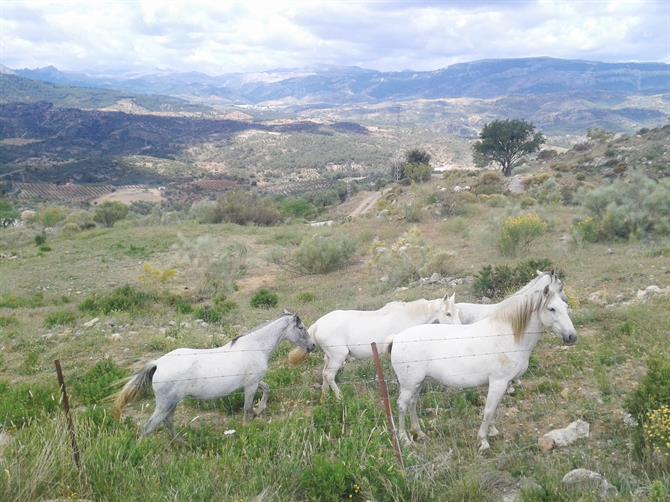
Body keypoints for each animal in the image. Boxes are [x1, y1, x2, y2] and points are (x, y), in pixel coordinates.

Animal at [114, 312, 316, 438]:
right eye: (301, 327)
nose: (313, 346)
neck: (255, 347)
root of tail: (158, 363)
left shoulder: (252, 382)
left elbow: (266, 388)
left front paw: (259, 410)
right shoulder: (250, 385)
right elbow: (247, 407)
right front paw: (249, 422)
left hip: (171, 404)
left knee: (167, 423)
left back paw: (181, 444)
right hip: (166, 404)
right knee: (150, 427)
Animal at [314, 294, 462, 400]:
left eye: (457, 311)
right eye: (448, 313)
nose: (460, 328)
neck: (408, 316)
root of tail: (316, 325)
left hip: (329, 357)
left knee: (324, 374)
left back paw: (324, 398)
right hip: (338, 357)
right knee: (329, 375)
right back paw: (339, 397)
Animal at [392, 274, 580, 452]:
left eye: (565, 306)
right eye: (551, 308)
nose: (571, 337)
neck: (508, 335)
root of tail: (396, 338)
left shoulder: (505, 384)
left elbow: (494, 409)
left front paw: (493, 431)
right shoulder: (498, 382)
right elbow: (489, 411)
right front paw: (483, 441)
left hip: (418, 383)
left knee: (412, 404)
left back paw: (419, 433)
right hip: (409, 385)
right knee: (402, 406)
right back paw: (404, 439)